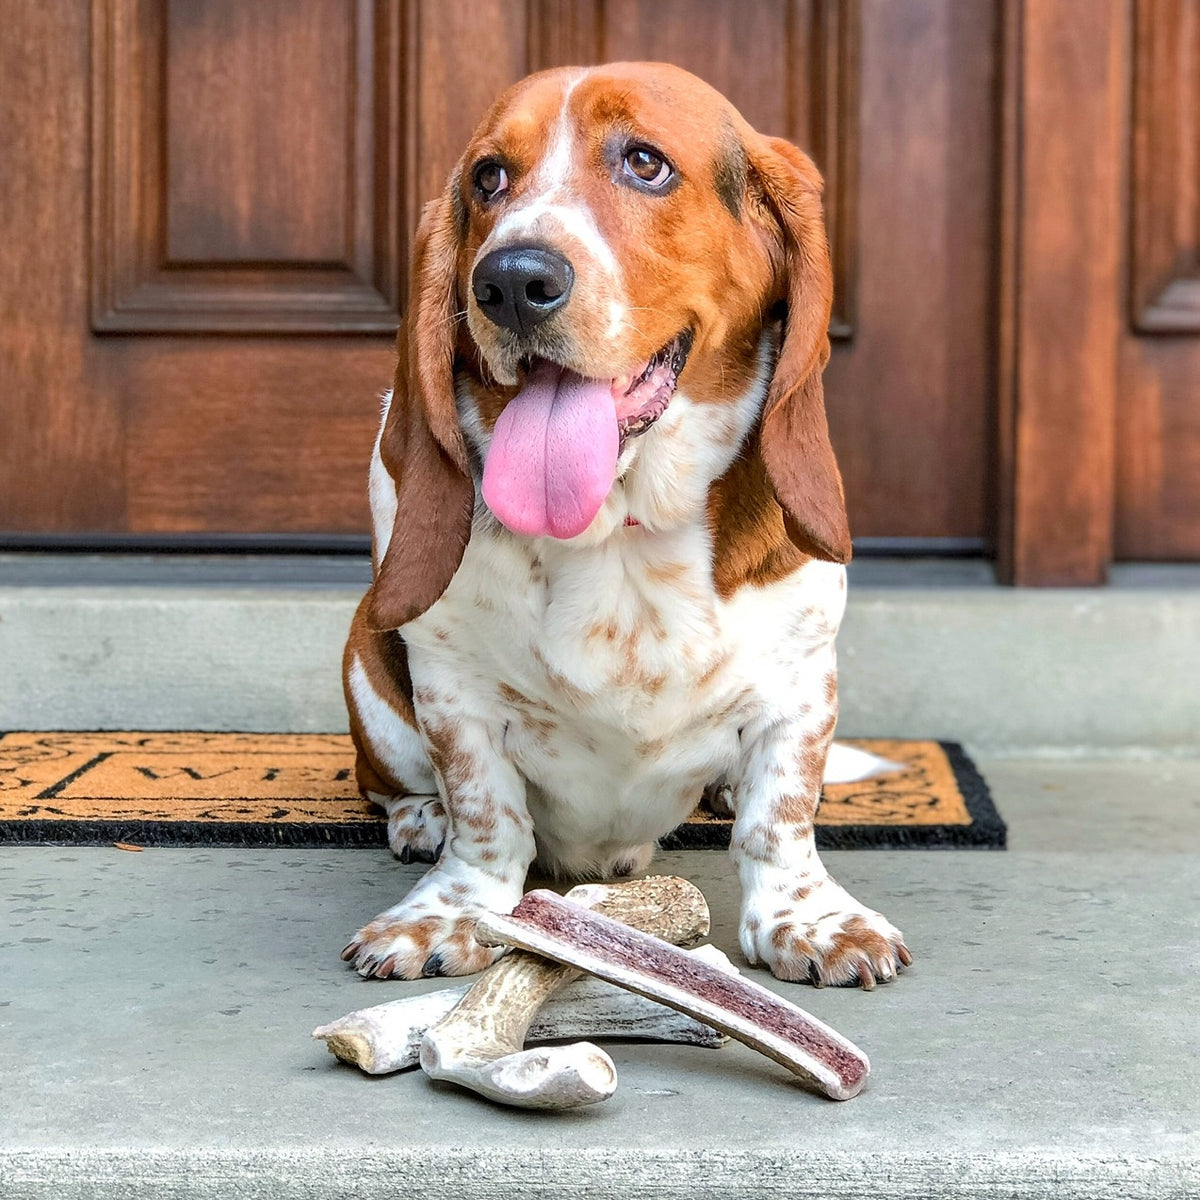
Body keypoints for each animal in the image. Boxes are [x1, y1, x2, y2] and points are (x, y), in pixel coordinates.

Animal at [338, 60, 907, 988]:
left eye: (644, 162)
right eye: (487, 178)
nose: (510, 281)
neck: (620, 527)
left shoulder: (801, 684)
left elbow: (779, 818)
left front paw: (811, 918)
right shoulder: (454, 694)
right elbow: (486, 817)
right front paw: (451, 910)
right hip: (366, 661)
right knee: (392, 779)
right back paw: (418, 816)